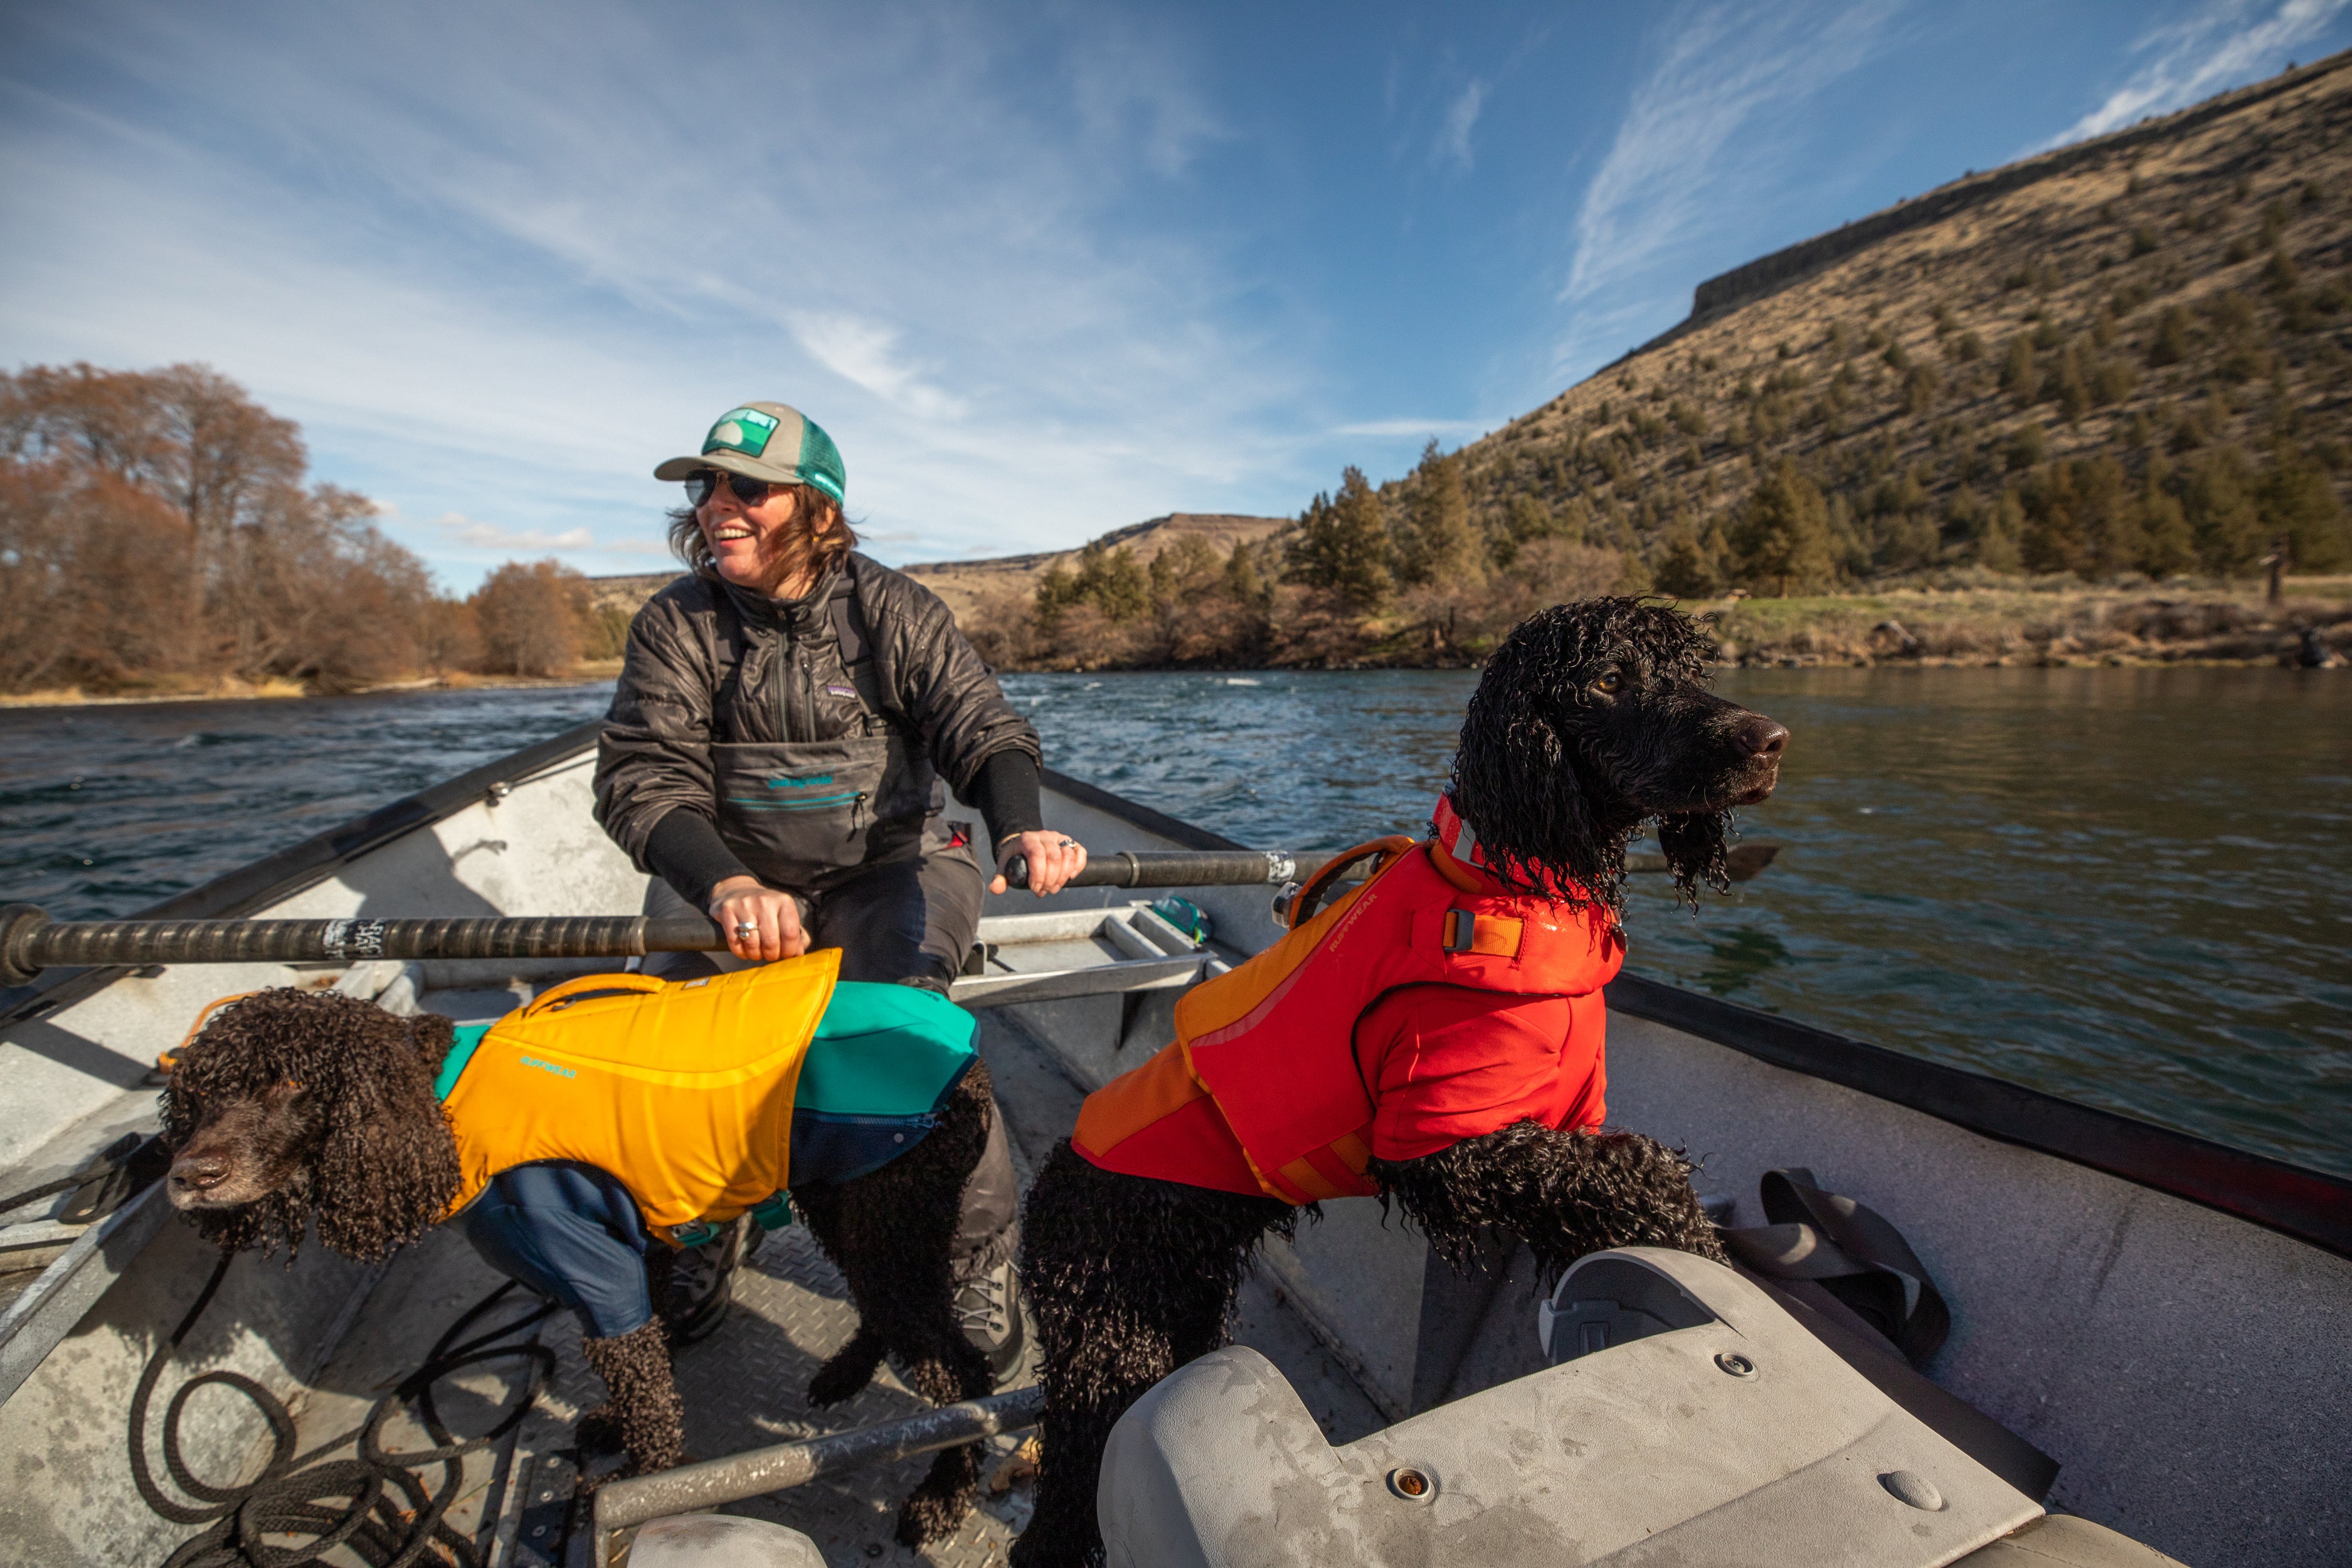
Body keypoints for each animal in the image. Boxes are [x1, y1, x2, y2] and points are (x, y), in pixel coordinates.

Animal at [161, 987, 1007, 1542]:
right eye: (199, 1095)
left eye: (292, 1082)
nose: (188, 1175)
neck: (437, 1105)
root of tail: (965, 1045)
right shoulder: (641, 1243)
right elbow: (647, 1358)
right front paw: (609, 1423)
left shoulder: (591, 1261)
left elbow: (643, 1384)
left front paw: (644, 1487)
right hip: (848, 1200)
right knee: (891, 1312)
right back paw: (847, 1372)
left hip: (889, 1211)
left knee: (959, 1369)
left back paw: (943, 1494)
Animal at [1007, 595, 1778, 1560]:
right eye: (1609, 679)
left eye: (1692, 668)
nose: (1771, 740)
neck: (1514, 882)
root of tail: (1051, 1184)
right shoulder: (1441, 1144)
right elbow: (1637, 1169)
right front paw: (1701, 1248)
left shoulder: (1552, 1122)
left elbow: (1600, 1181)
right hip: (1109, 1343)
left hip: (1180, 1312)